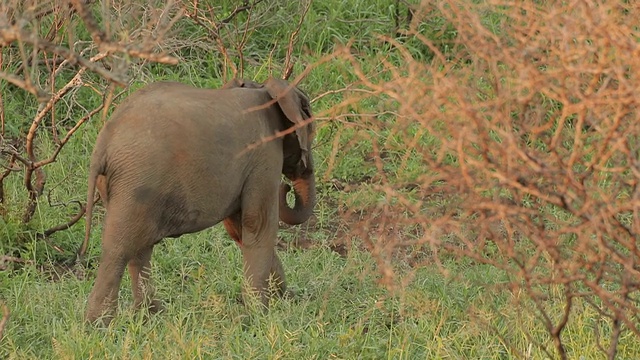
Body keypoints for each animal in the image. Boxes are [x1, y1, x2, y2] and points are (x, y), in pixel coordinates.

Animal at [80, 77, 318, 324]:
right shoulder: (264, 155)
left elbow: (239, 228)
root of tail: (103, 143)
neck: (265, 88)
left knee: (140, 247)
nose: (286, 187)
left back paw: (151, 315)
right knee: (120, 248)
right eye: (312, 131)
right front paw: (260, 314)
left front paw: (282, 300)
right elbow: (257, 224)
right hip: (137, 182)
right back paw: (100, 324)